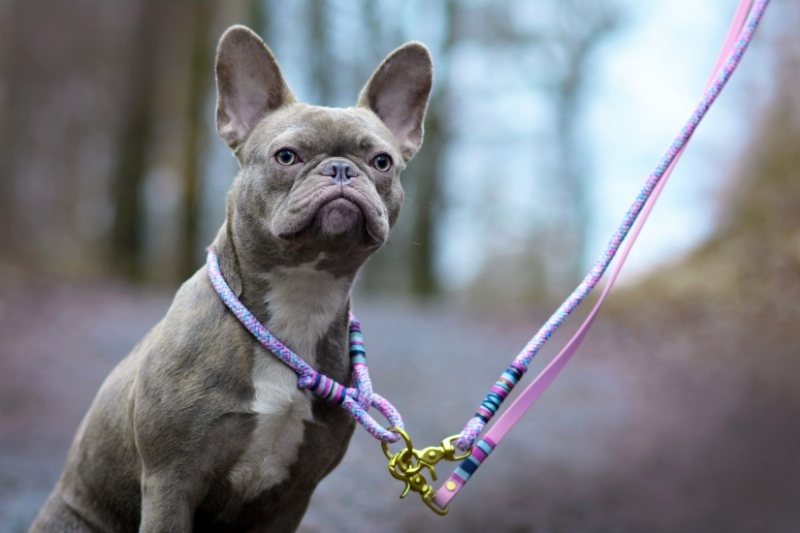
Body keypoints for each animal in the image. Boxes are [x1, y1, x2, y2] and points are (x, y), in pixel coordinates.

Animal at [31, 22, 432, 528]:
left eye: (382, 162)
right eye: (287, 156)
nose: (341, 168)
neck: (301, 298)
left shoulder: (292, 496)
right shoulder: (170, 482)